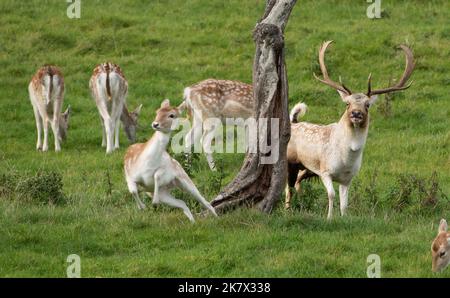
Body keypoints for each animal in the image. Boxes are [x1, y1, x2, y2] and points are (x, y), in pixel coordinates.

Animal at [284, 40, 414, 219]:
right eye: (347, 103)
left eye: (368, 105)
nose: (356, 113)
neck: (346, 159)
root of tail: (293, 122)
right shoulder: (325, 170)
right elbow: (331, 195)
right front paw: (329, 218)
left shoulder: (348, 178)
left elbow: (345, 203)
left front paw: (344, 218)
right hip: (290, 162)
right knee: (287, 187)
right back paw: (287, 210)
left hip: (307, 169)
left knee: (297, 183)